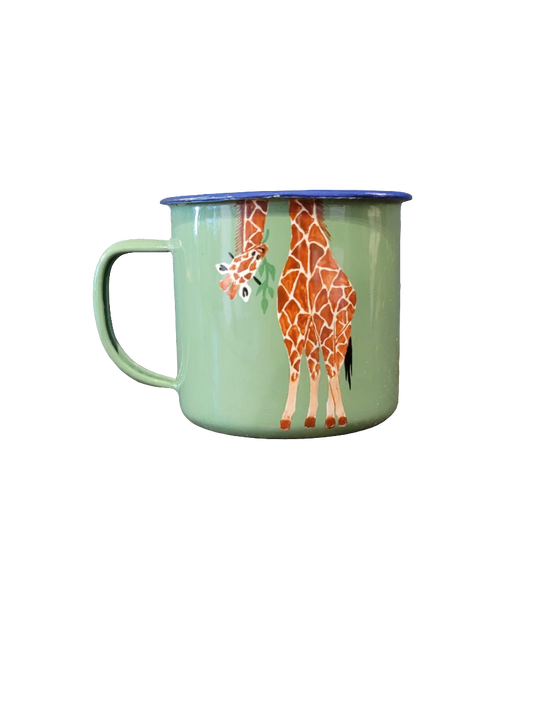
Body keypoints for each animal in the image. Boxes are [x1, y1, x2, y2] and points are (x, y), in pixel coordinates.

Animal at [216, 198, 357, 430]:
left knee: (334, 365)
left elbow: (330, 371)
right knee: (317, 370)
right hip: (313, 333)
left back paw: (333, 417)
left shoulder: (325, 320)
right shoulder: (291, 322)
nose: (227, 288)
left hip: (342, 327)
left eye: (254, 255)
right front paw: (287, 418)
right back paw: (314, 418)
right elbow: (296, 371)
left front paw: (342, 417)